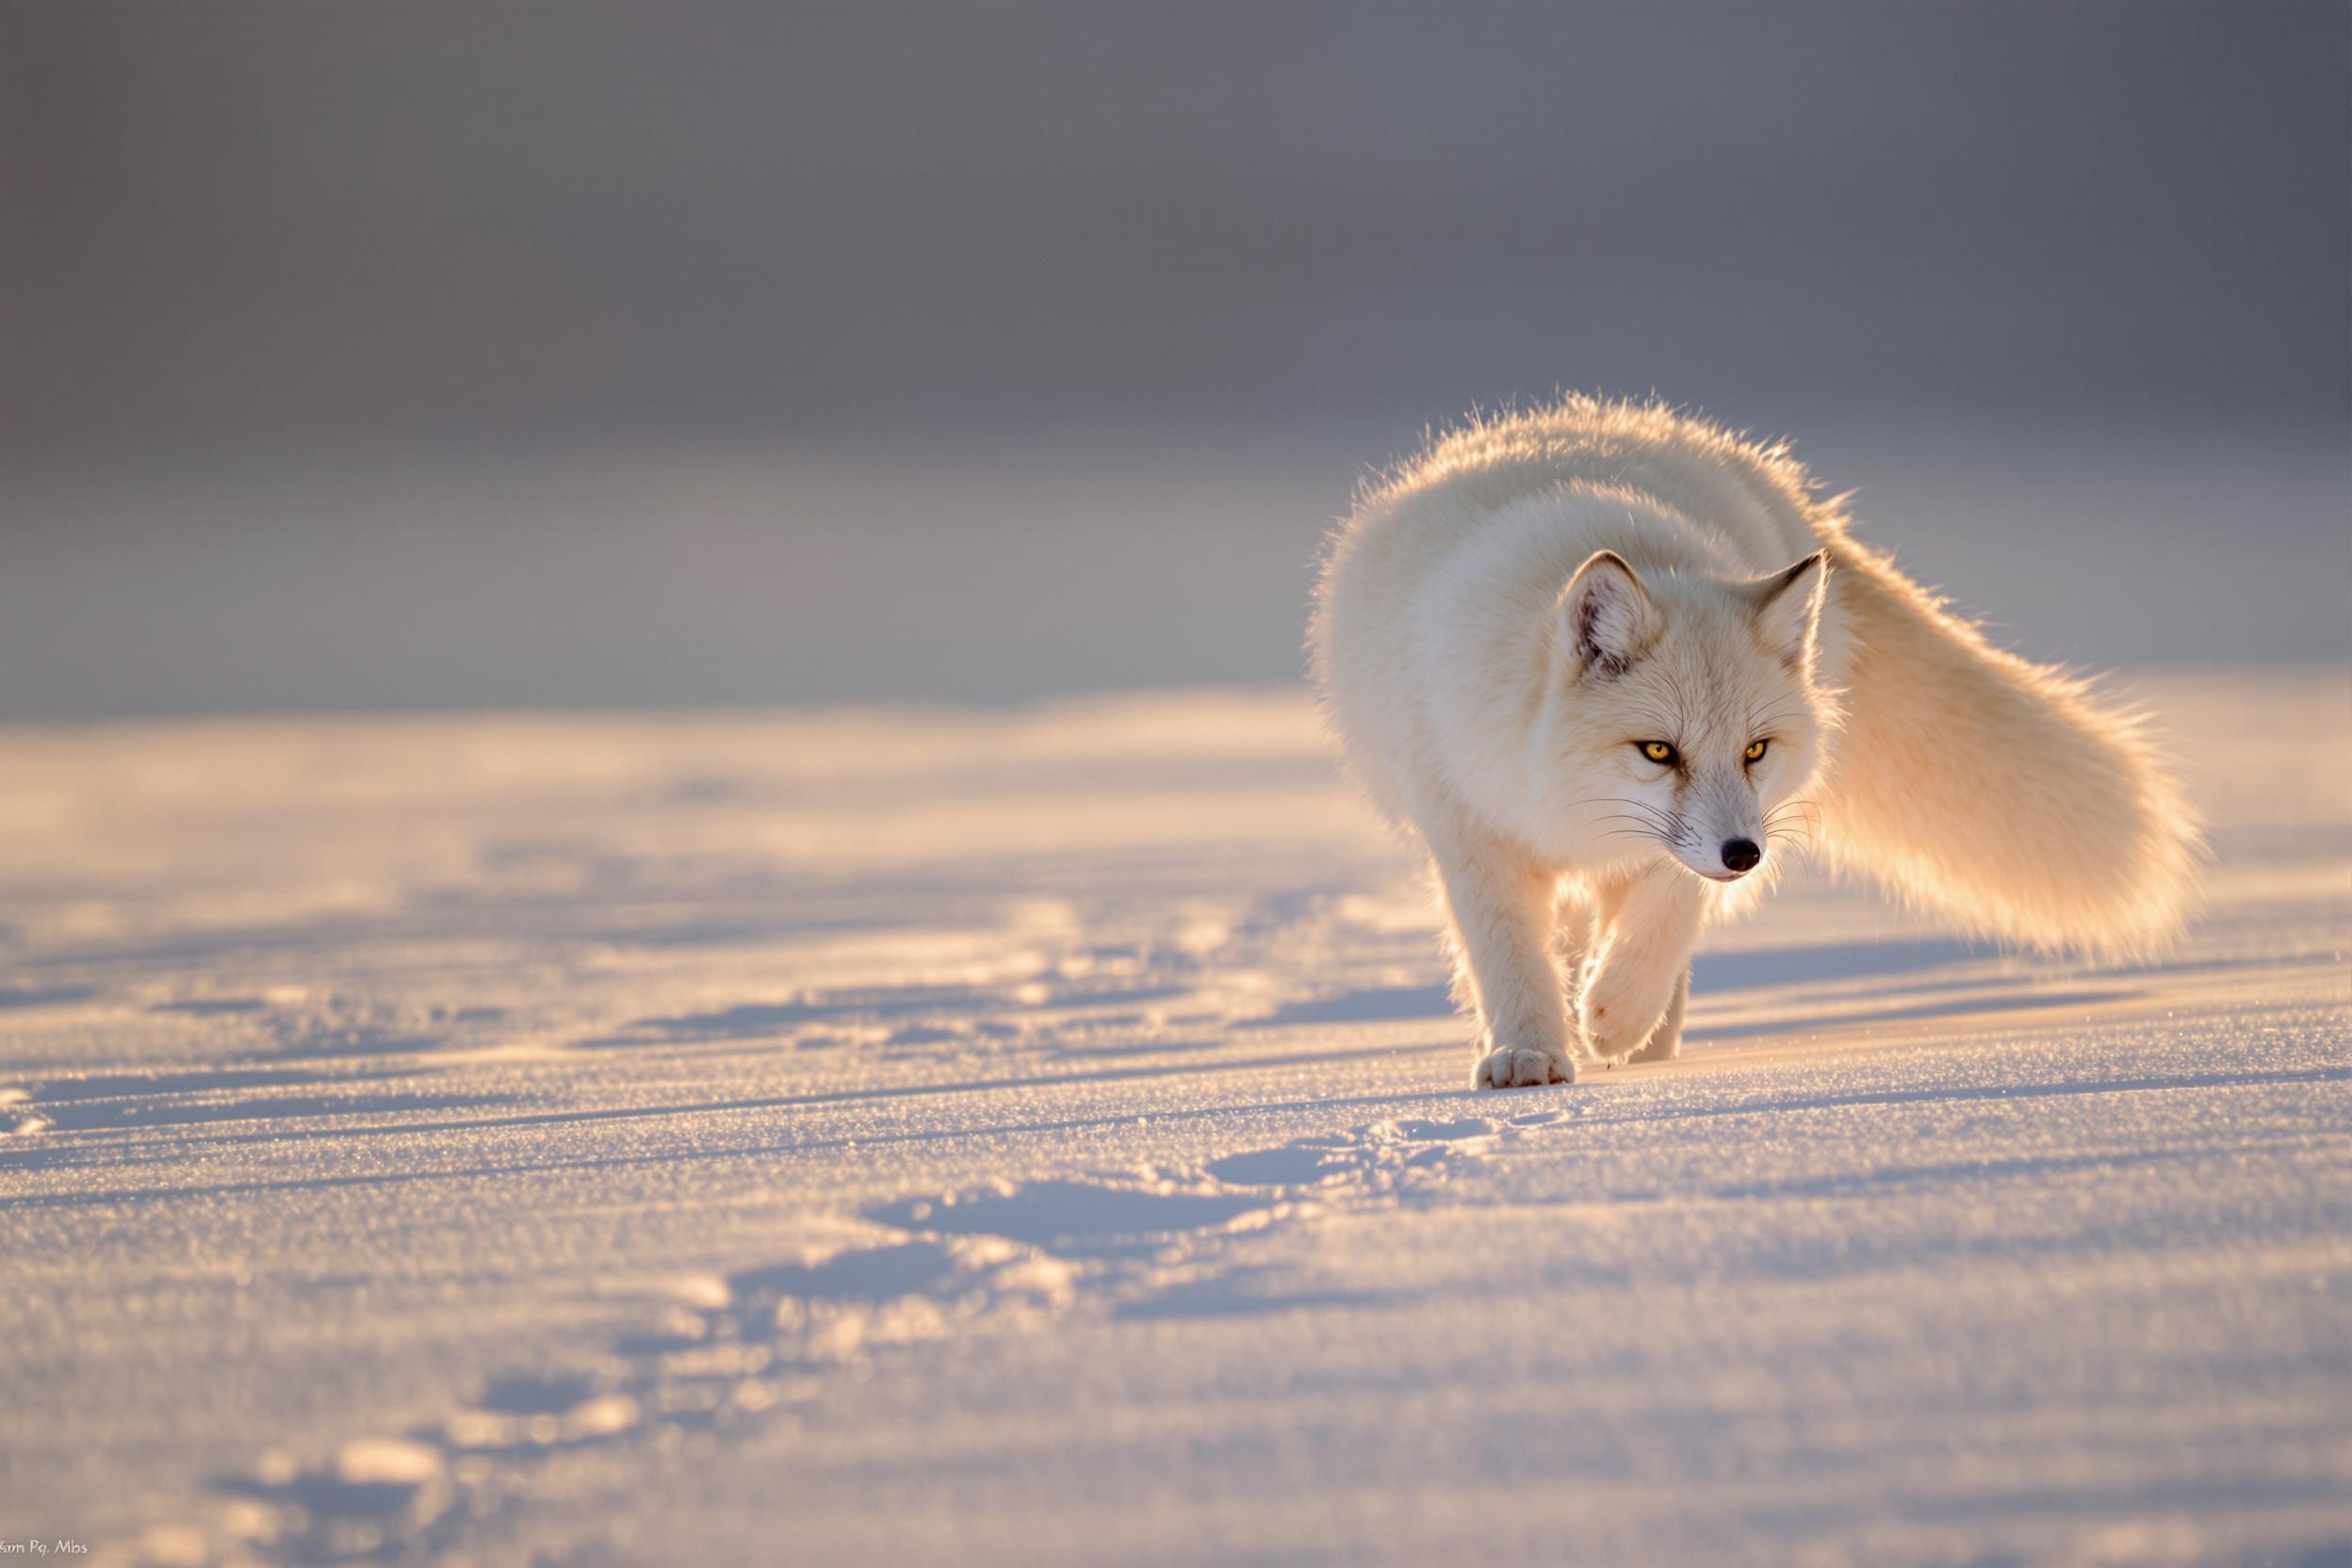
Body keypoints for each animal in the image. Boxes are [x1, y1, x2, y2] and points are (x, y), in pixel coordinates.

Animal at [1316, 400, 2192, 1086]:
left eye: (1755, 751)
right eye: (1659, 752)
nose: (1745, 857)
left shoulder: (1719, 834)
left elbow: (1668, 914)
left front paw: (1615, 1012)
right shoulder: (1467, 823)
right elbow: (1509, 957)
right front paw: (1529, 1053)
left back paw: (1643, 1038)